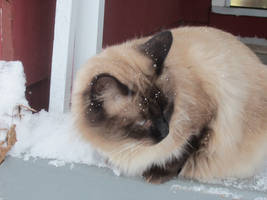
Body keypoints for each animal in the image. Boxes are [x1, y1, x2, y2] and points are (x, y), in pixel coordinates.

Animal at [71, 26, 267, 184]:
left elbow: (182, 152)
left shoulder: (205, 122)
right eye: (142, 122)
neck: (127, 144)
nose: (165, 132)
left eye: (165, 109)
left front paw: (157, 174)